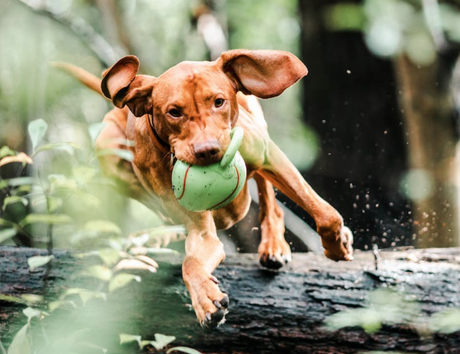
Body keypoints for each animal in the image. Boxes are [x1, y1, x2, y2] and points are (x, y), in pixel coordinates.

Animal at [57, 49, 352, 330]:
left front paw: (337, 246)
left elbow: (326, 215)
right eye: (174, 111)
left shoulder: (269, 156)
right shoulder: (201, 231)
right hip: (108, 148)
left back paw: (274, 244)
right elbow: (191, 262)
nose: (208, 150)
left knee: (268, 195)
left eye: (219, 102)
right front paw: (205, 300)